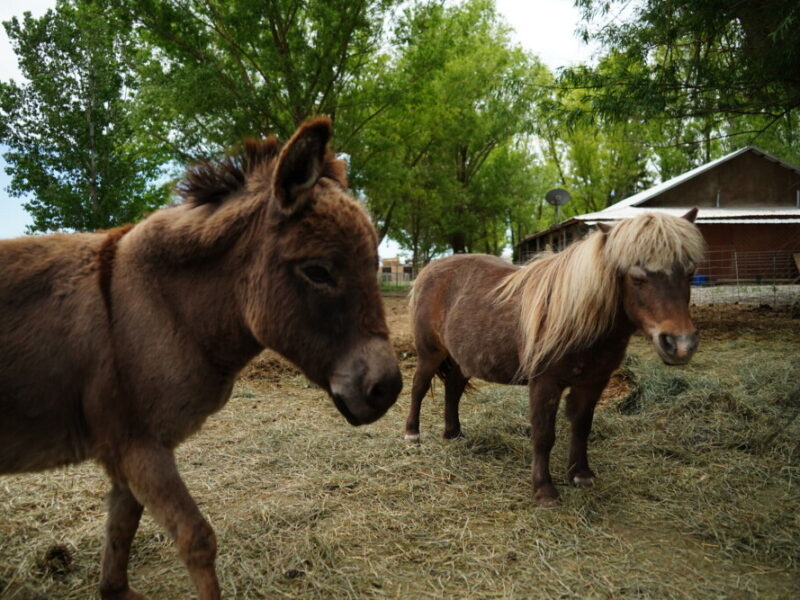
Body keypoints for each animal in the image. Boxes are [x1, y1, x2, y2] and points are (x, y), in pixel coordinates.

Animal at [0, 115, 400, 596]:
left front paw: (115, 589)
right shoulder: (138, 447)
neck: (161, 306)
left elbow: (121, 528)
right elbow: (197, 539)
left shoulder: (131, 452)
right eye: (318, 271)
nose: (388, 389)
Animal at [406, 210, 708, 506]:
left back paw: (453, 434)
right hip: (430, 353)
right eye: (637, 278)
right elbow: (543, 435)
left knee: (453, 389)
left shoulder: (593, 382)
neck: (578, 319)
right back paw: (412, 435)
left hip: (461, 359)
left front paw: (581, 474)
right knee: (419, 387)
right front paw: (544, 491)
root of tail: (429, 270)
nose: (681, 344)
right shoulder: (545, 383)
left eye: (689, 273)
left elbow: (582, 426)